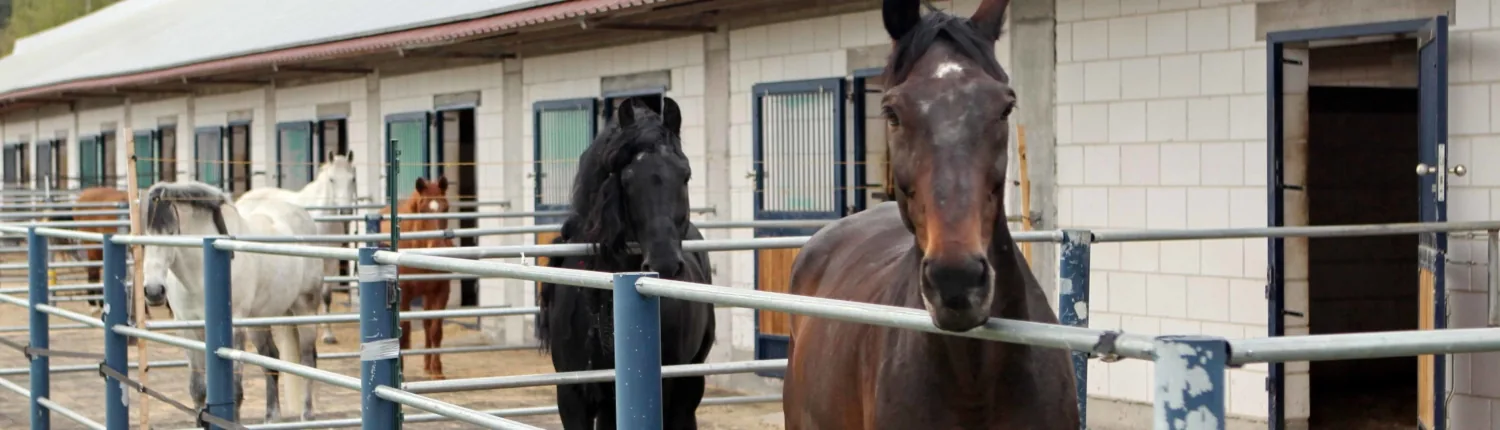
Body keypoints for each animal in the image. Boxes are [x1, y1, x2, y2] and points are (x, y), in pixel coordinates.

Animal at [138, 180, 325, 423]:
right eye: (144, 236)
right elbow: (198, 390)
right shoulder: (189, 329)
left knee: (308, 360)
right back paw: (271, 417)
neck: (203, 271)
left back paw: (307, 414)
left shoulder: (234, 328)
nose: (153, 291)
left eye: (171, 232)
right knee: (271, 358)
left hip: (305, 309)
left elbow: (235, 391)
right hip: (258, 322)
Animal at [235, 151, 359, 345]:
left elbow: (327, 296)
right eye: (331, 180)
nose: (345, 211)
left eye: (352, 179)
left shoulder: (331, 260)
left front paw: (328, 334)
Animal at [377, 176, 455, 380]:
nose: (438, 246)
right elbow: (404, 332)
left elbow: (435, 330)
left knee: (427, 325)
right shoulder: (403, 295)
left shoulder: (441, 291)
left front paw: (437, 371)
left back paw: (427, 365)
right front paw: (401, 372)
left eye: (446, 208)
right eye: (423, 209)